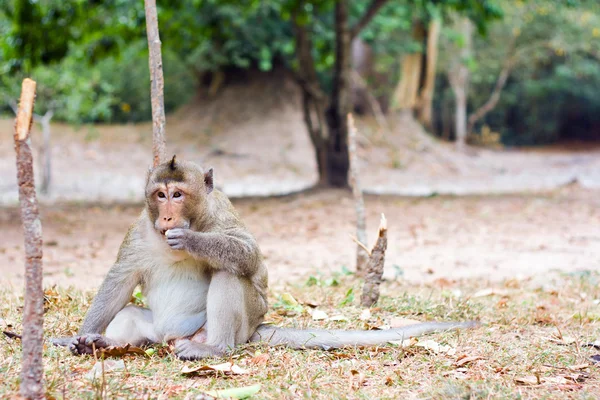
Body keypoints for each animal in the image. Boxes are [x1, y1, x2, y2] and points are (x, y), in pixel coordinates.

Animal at [51, 156, 478, 360]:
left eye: (177, 194)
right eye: (160, 194)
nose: (168, 218)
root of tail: (173, 338)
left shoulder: (222, 216)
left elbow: (249, 257)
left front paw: (189, 239)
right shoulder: (139, 231)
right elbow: (119, 280)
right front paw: (78, 336)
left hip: (235, 328)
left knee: (229, 275)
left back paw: (214, 349)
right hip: (153, 333)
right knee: (130, 318)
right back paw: (102, 343)